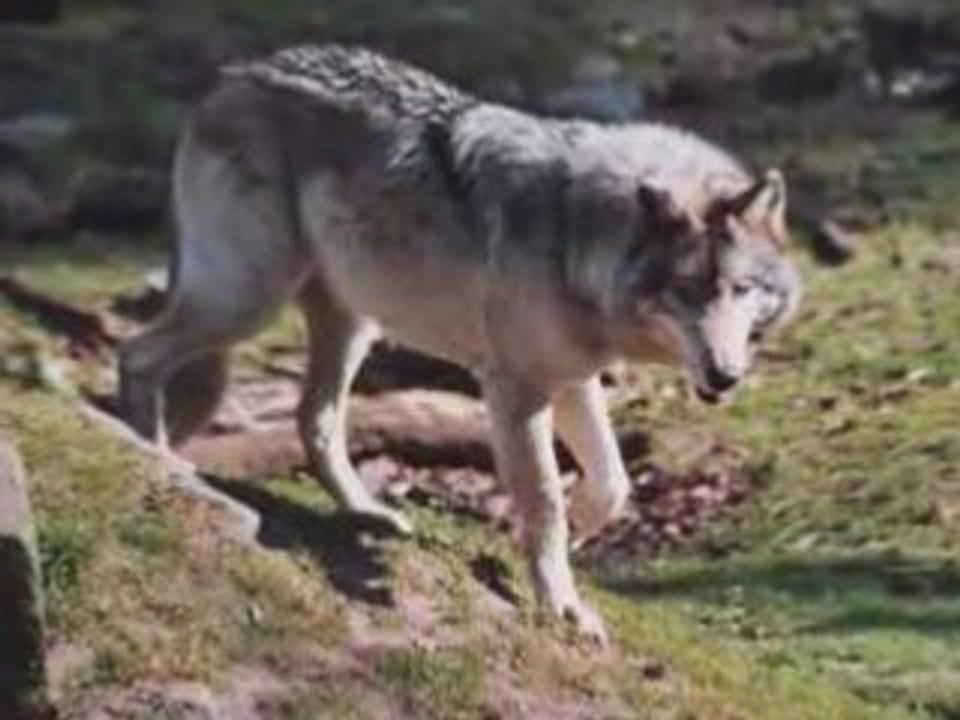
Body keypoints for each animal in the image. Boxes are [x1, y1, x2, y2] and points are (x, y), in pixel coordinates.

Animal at [119, 45, 801, 643]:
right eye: (686, 292)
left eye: (741, 289)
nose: (725, 375)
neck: (575, 233)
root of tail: (230, 77)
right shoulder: (516, 389)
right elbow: (544, 502)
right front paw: (561, 604)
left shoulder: (573, 379)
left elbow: (612, 485)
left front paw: (579, 534)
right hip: (248, 299)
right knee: (137, 355)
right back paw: (154, 458)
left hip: (351, 326)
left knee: (313, 419)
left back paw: (368, 514)